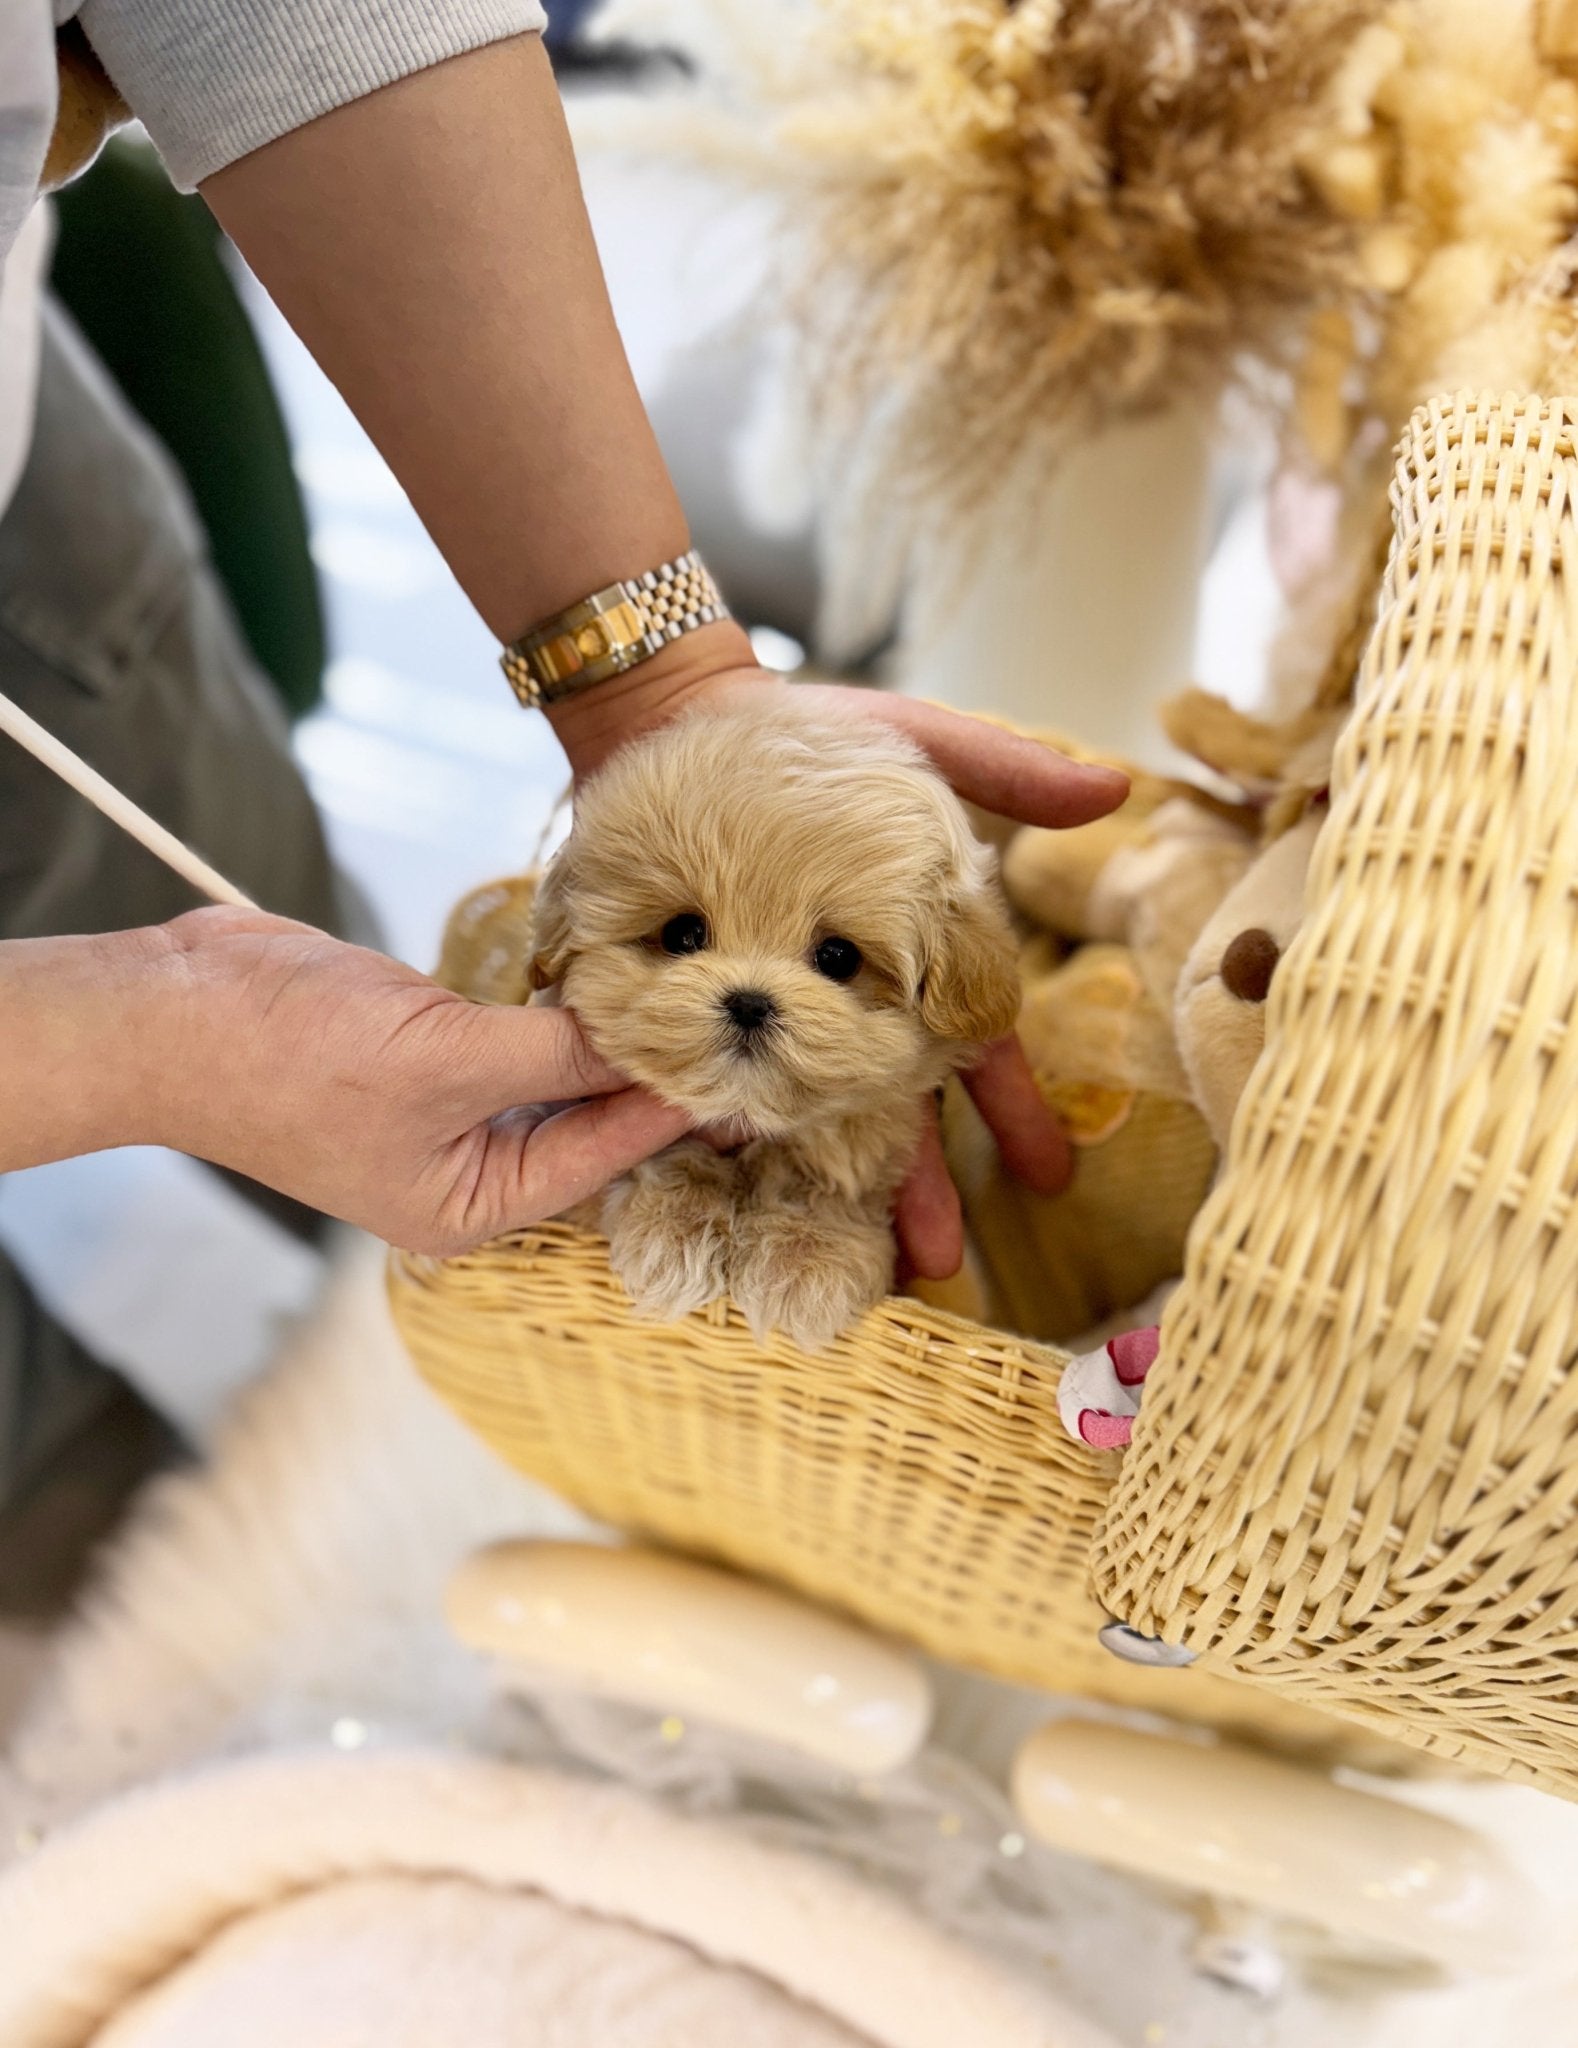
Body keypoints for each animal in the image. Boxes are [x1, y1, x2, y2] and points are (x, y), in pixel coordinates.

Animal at [532, 696, 1023, 1351]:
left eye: (838, 957)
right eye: (683, 934)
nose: (749, 1001)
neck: (750, 1114)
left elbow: (832, 1182)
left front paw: (807, 1257)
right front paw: (677, 1229)